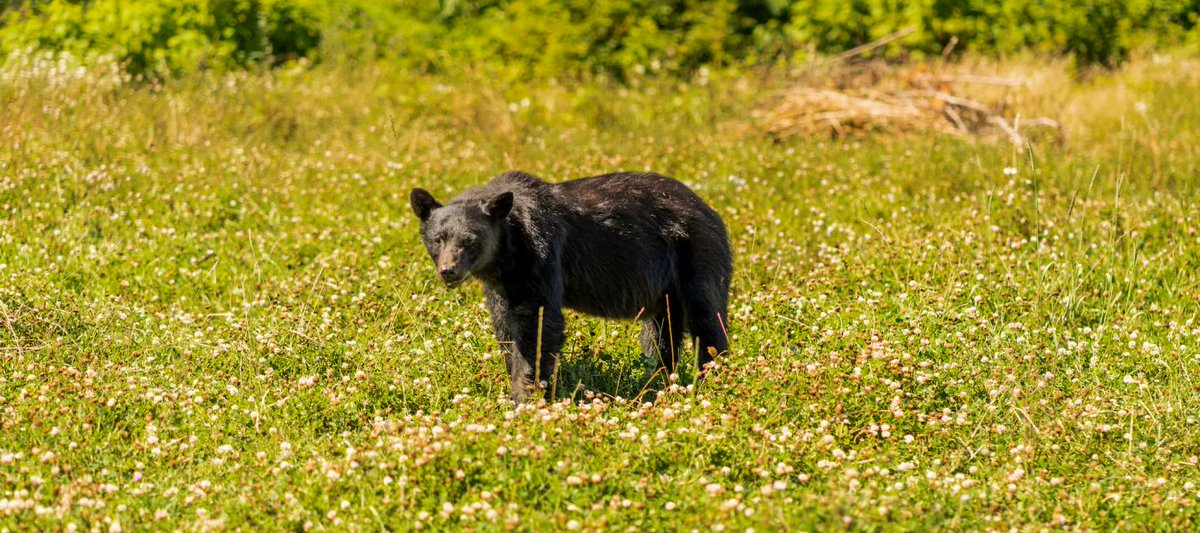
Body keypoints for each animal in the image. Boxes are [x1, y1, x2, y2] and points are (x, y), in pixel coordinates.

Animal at [412, 169, 729, 398]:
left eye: (470, 240)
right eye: (438, 239)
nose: (449, 270)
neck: (507, 253)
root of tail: (710, 210)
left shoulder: (541, 255)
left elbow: (538, 323)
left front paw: (524, 395)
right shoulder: (501, 284)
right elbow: (505, 326)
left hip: (696, 254)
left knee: (707, 319)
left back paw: (713, 377)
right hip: (664, 287)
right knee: (661, 334)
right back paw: (661, 378)